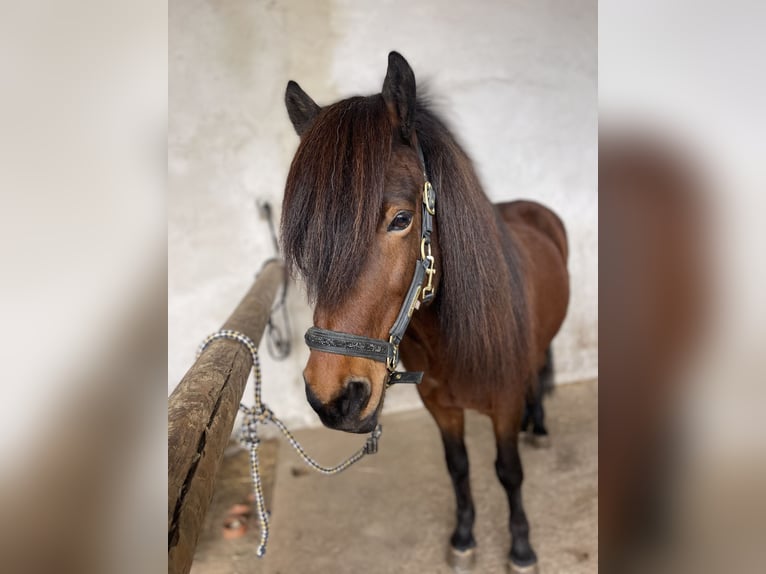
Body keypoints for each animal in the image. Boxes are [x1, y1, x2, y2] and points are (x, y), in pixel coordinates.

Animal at [280, 52, 569, 573]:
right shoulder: (440, 406)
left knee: (538, 369)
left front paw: (520, 547)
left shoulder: (503, 402)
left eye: (401, 219)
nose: (334, 398)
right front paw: (463, 538)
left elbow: (508, 471)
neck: (448, 339)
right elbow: (459, 468)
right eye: (309, 234)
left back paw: (537, 426)